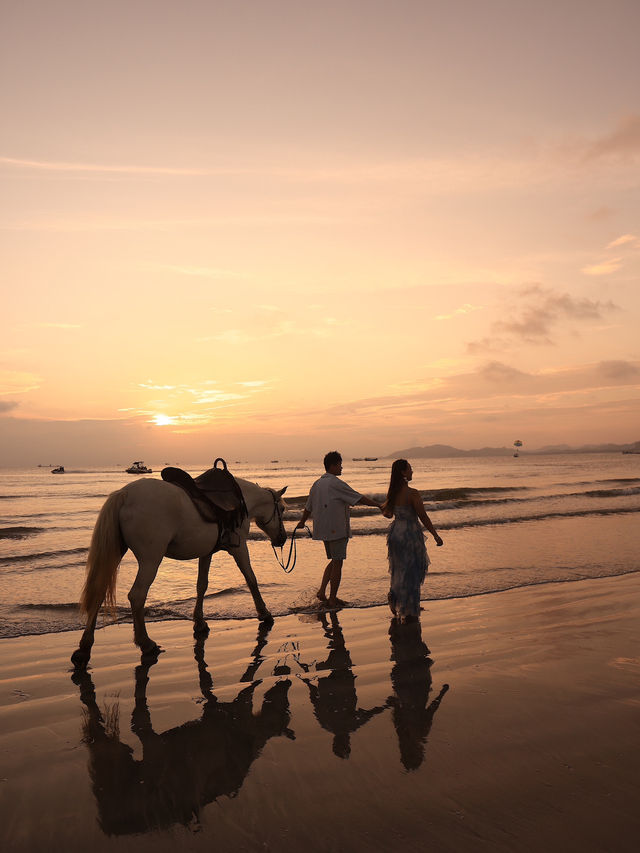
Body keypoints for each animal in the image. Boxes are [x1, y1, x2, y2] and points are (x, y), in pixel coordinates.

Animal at [72, 480, 288, 664]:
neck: (239, 503)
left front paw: (199, 623)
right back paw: (146, 643)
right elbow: (251, 578)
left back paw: (84, 648)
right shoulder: (240, 548)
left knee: (99, 592)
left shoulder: (206, 552)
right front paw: (264, 613)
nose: (283, 538)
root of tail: (125, 494)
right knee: (137, 595)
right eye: (283, 509)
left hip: (117, 552)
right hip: (151, 559)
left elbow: (202, 585)